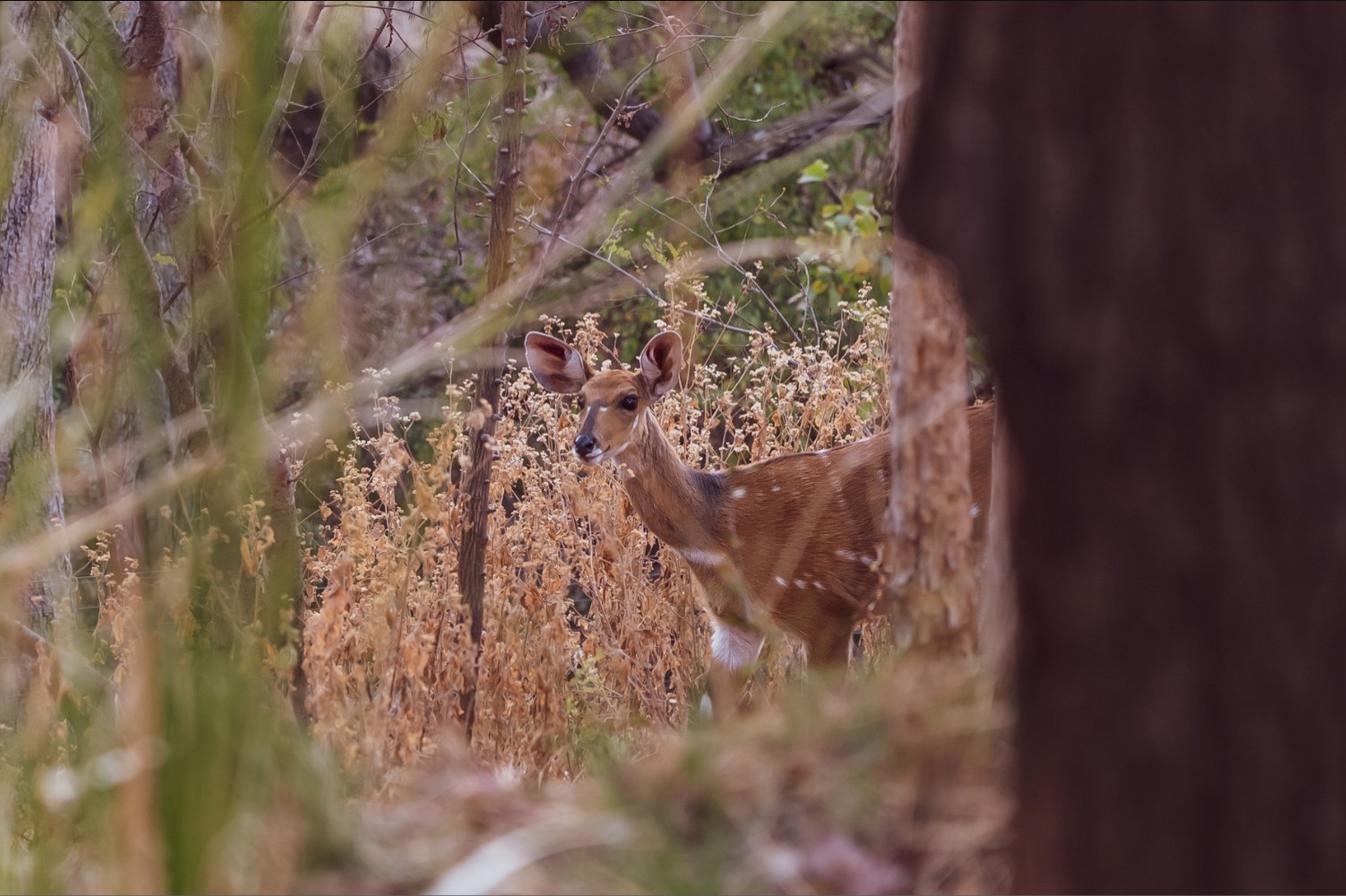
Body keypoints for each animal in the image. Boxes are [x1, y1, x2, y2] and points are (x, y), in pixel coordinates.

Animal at [525, 330, 994, 715]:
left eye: (629, 399)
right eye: (581, 400)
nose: (584, 444)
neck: (720, 534)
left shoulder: (827, 609)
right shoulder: (735, 626)